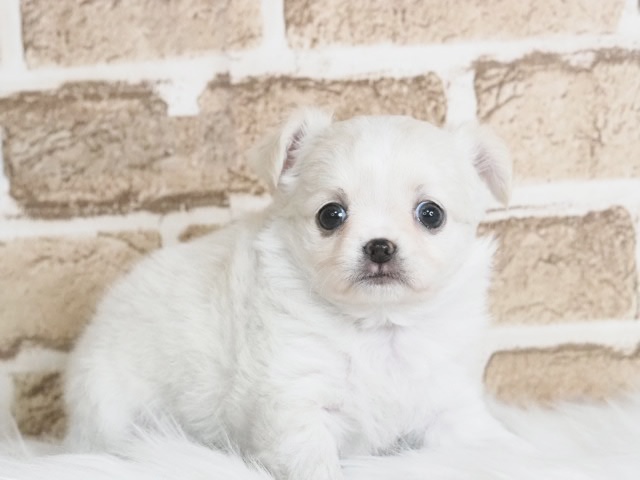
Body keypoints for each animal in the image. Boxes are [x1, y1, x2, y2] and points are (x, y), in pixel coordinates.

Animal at [65, 109, 513, 480]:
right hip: (107, 406)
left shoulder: (448, 404)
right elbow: (315, 466)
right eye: (331, 215)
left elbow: (472, 447)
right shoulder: (295, 405)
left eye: (431, 214)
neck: (378, 326)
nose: (379, 247)